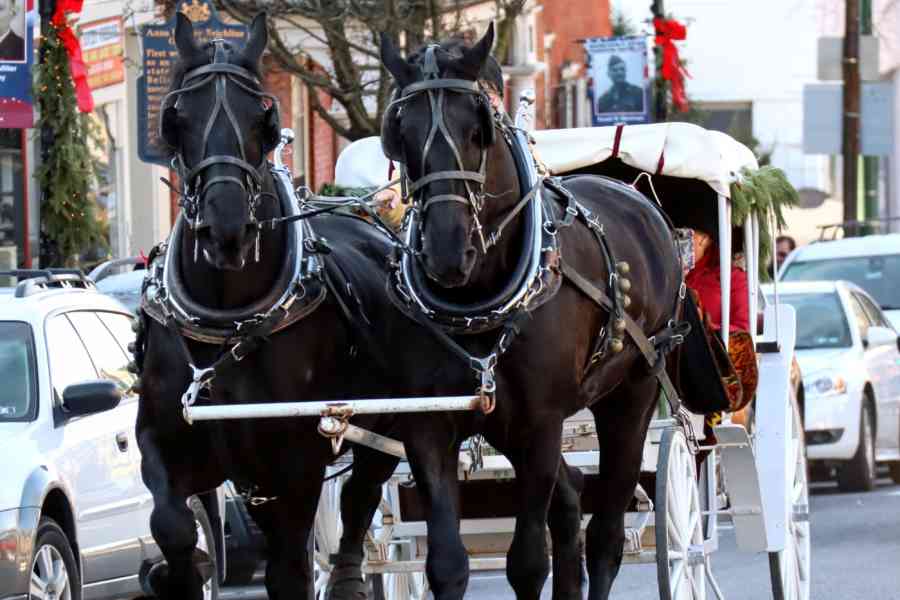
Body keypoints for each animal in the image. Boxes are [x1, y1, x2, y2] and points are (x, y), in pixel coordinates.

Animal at [134, 14, 584, 600]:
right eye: (176, 118)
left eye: (263, 119)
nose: (226, 228)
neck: (229, 321)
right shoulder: (162, 446)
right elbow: (172, 526)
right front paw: (174, 574)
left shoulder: (296, 460)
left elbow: (289, 568)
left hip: (381, 427)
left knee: (361, 497)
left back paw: (348, 577)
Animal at [378, 24, 684, 600]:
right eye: (400, 134)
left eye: (478, 130)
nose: (447, 251)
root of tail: (634, 196)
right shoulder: (430, 427)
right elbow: (447, 564)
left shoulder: (541, 424)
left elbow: (525, 562)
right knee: (571, 500)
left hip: (631, 394)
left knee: (605, 532)